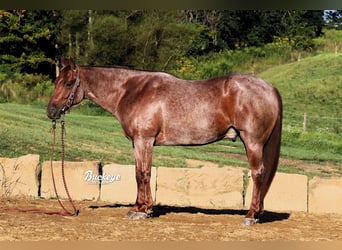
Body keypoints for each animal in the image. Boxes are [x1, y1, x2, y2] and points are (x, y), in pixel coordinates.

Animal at [48, 57, 284, 226]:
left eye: (68, 83)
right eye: (56, 81)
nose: (51, 111)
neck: (132, 91)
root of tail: (270, 88)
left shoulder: (144, 140)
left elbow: (144, 173)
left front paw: (143, 211)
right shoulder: (137, 143)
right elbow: (138, 173)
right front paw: (138, 208)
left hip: (252, 143)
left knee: (258, 174)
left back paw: (251, 215)